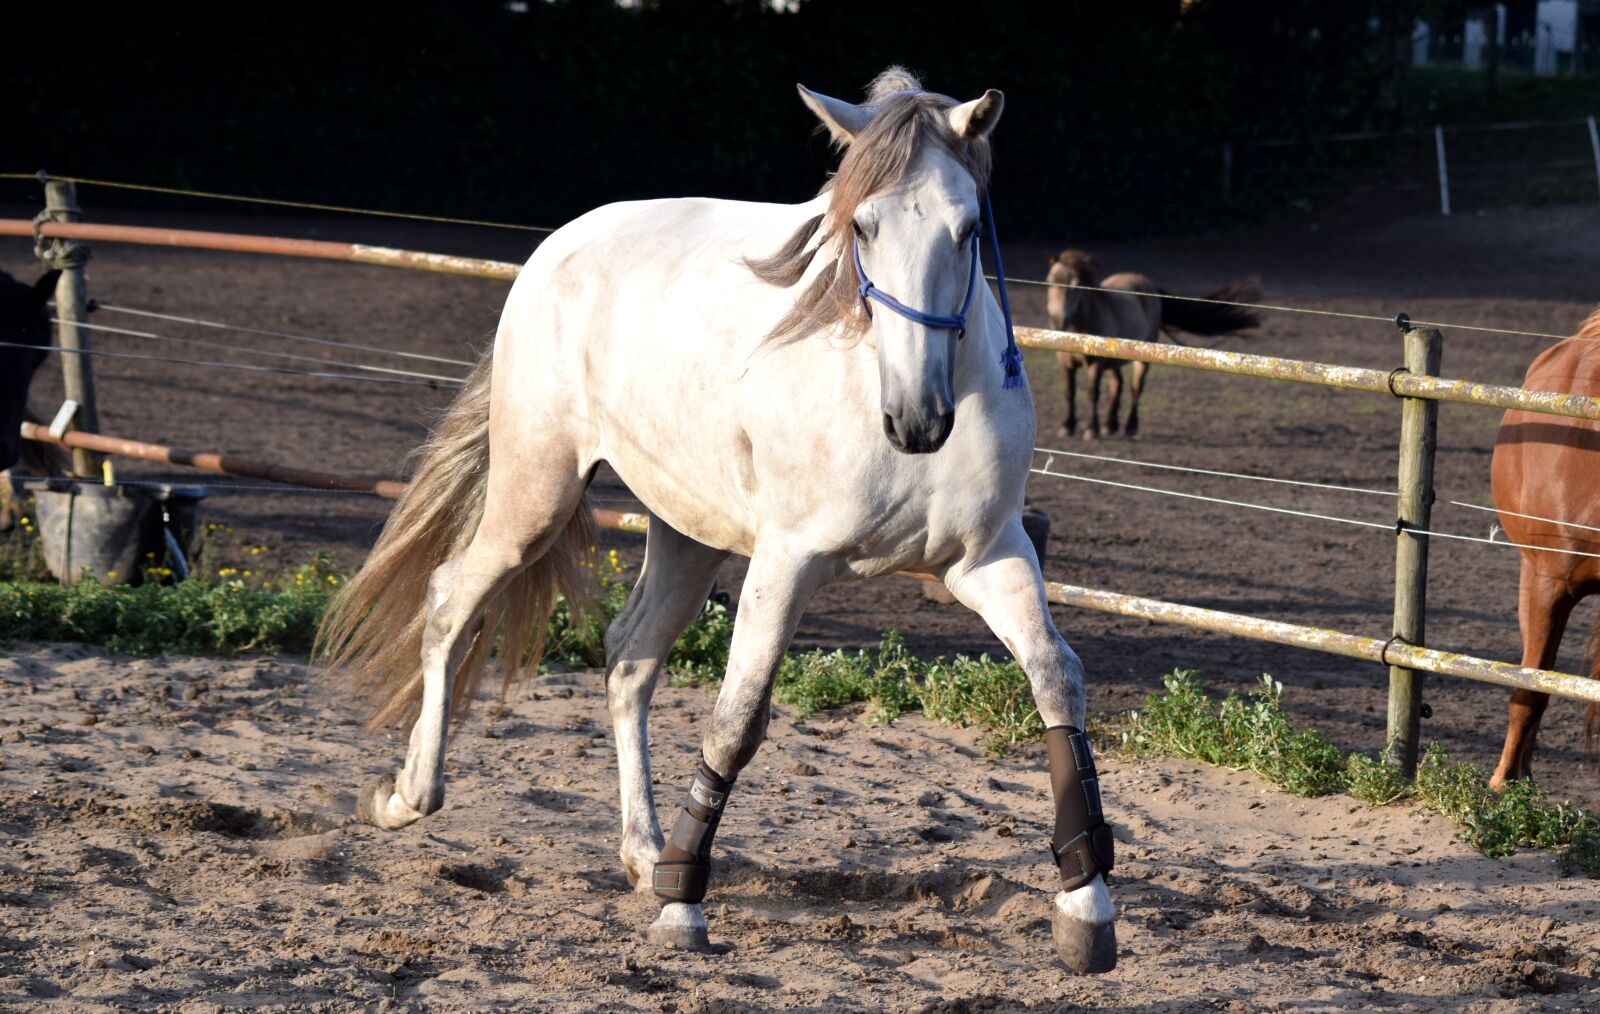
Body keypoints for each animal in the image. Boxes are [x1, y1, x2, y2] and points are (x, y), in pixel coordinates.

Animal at [319, 67, 1121, 974]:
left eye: (967, 228)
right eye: (863, 226)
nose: (918, 421)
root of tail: (559, 246)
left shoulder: (989, 557)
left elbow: (1057, 678)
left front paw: (1087, 909)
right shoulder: (786, 563)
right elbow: (737, 720)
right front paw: (683, 909)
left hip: (687, 533)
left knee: (628, 658)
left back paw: (644, 851)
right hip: (537, 493)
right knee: (453, 599)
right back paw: (406, 797)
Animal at [1044, 249, 1260, 439]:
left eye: (1076, 286)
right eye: (1050, 282)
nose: (1057, 321)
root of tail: (1149, 285)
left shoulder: (1096, 364)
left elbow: (1092, 393)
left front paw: (1091, 430)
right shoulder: (1064, 362)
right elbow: (1069, 392)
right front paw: (1067, 427)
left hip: (1141, 359)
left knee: (1135, 388)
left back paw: (1129, 427)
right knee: (1117, 385)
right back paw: (1110, 425)